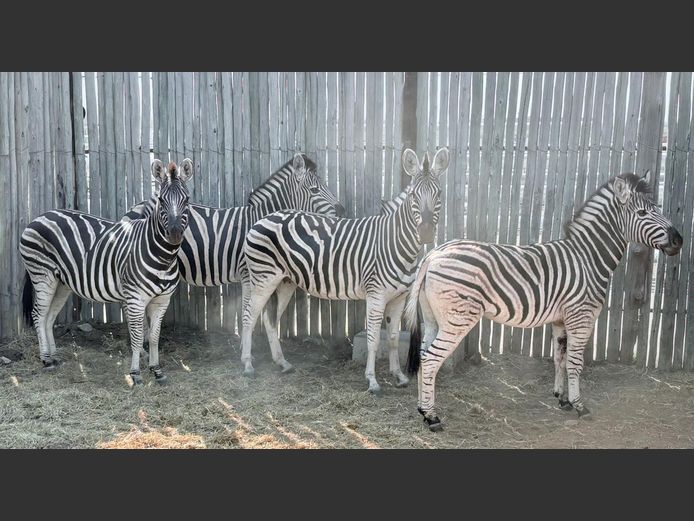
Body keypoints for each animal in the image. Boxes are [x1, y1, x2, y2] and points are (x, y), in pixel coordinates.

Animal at [20, 159, 194, 385]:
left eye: (187, 199)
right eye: (161, 200)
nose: (174, 234)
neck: (164, 256)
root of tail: (40, 216)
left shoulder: (162, 300)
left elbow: (155, 337)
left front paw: (157, 370)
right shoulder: (135, 299)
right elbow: (137, 336)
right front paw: (135, 374)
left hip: (61, 283)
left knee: (49, 317)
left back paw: (54, 356)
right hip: (42, 275)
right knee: (38, 315)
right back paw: (46, 360)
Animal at [124, 153, 344, 355]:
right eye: (315, 190)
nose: (342, 209)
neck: (260, 219)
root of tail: (137, 206)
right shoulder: (249, 273)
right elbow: (248, 307)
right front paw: (246, 346)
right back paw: (142, 349)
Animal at [240, 148, 450, 392]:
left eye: (439, 193)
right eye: (414, 195)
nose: (426, 232)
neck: (395, 242)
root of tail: (264, 217)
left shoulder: (399, 297)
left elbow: (394, 338)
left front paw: (399, 376)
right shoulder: (376, 294)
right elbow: (373, 340)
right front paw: (372, 380)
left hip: (284, 282)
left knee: (270, 320)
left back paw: (282, 363)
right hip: (263, 278)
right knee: (248, 317)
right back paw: (247, 365)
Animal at [404, 171, 683, 431]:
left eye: (657, 208)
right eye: (643, 212)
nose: (679, 240)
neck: (588, 258)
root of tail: (433, 254)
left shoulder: (561, 320)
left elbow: (560, 358)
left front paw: (562, 399)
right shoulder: (581, 316)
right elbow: (575, 363)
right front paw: (580, 406)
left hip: (433, 318)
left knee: (423, 356)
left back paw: (421, 409)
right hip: (457, 319)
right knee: (431, 360)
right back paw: (432, 417)